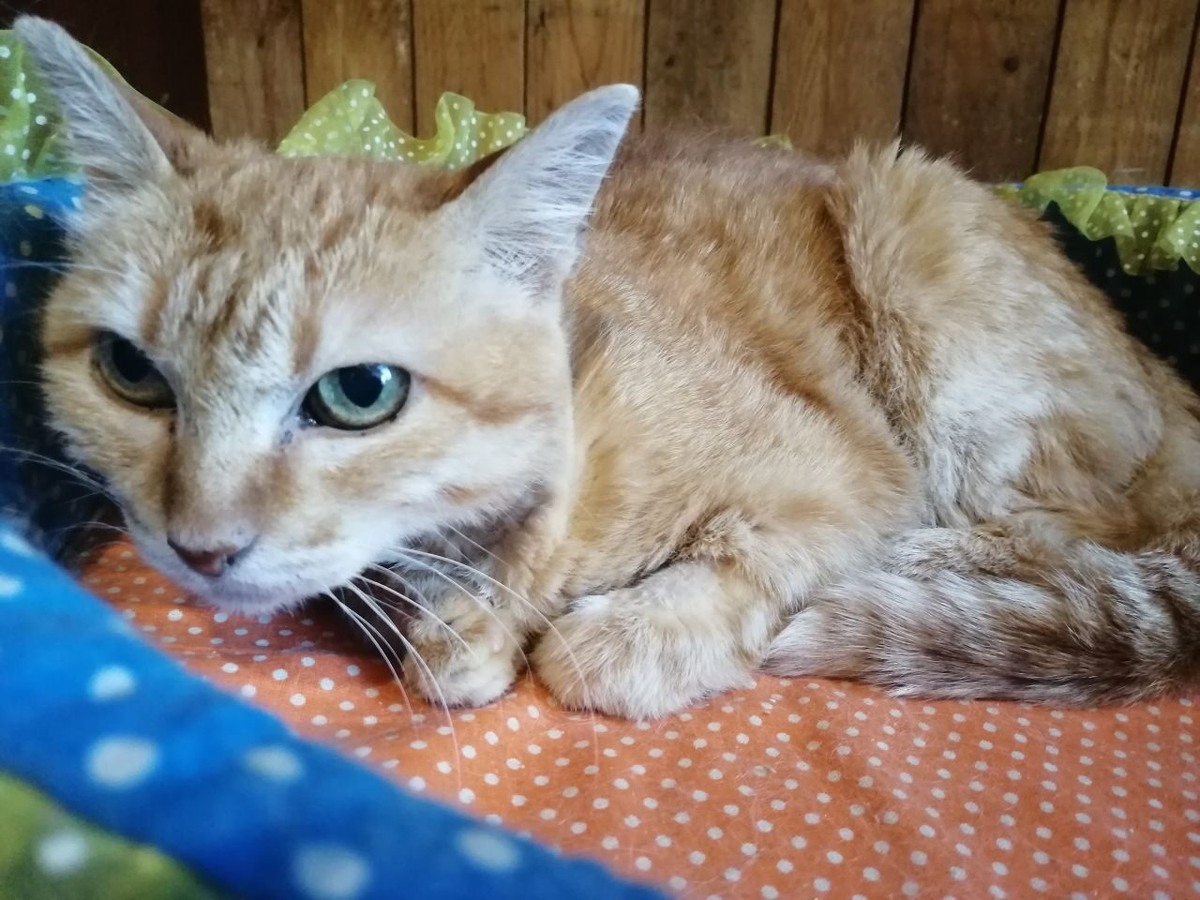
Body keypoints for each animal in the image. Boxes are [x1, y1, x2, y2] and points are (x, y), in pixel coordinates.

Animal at [16, 16, 1200, 720]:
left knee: (1087, 534)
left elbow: (642, 628)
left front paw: (613, 635)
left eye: (359, 394)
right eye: (130, 372)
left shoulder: (850, 473)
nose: (199, 547)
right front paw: (446, 637)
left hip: (923, 250)